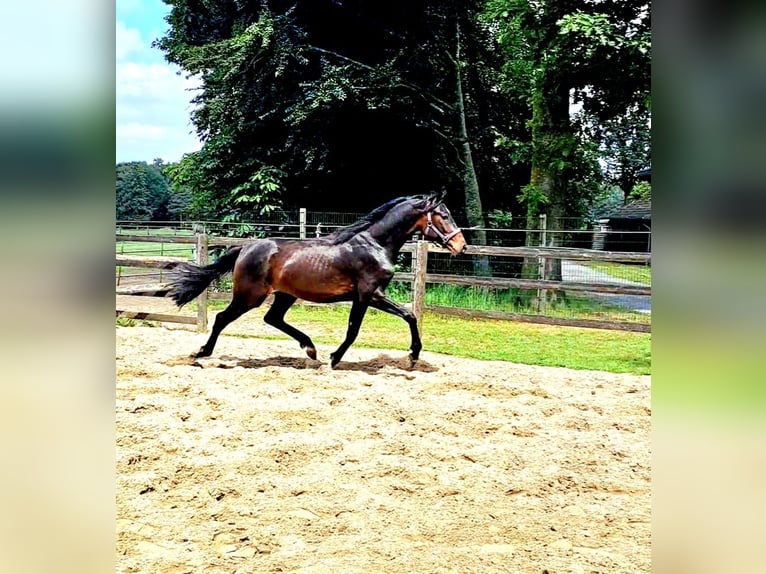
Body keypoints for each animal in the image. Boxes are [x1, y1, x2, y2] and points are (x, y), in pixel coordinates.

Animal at [168, 191, 468, 366]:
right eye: (444, 215)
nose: (461, 246)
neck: (375, 244)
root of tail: (245, 248)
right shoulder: (368, 294)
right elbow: (360, 328)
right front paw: (335, 358)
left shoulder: (368, 296)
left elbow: (407, 316)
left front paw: (413, 355)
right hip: (249, 296)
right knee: (222, 318)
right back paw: (201, 353)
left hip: (284, 295)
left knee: (273, 318)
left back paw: (310, 349)